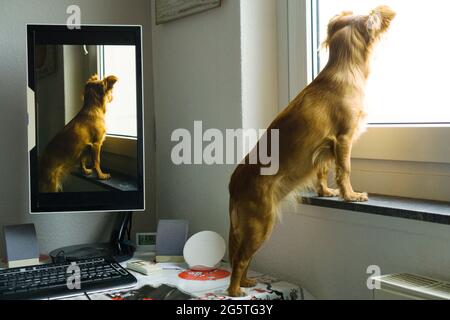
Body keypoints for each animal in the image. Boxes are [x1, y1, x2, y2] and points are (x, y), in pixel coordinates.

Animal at [227, 5, 396, 298]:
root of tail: (234, 182)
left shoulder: (325, 149)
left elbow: (322, 172)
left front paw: (326, 192)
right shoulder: (343, 139)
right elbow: (345, 170)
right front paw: (351, 195)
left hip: (255, 227)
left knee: (245, 257)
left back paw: (247, 283)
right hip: (260, 223)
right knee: (240, 258)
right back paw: (234, 291)